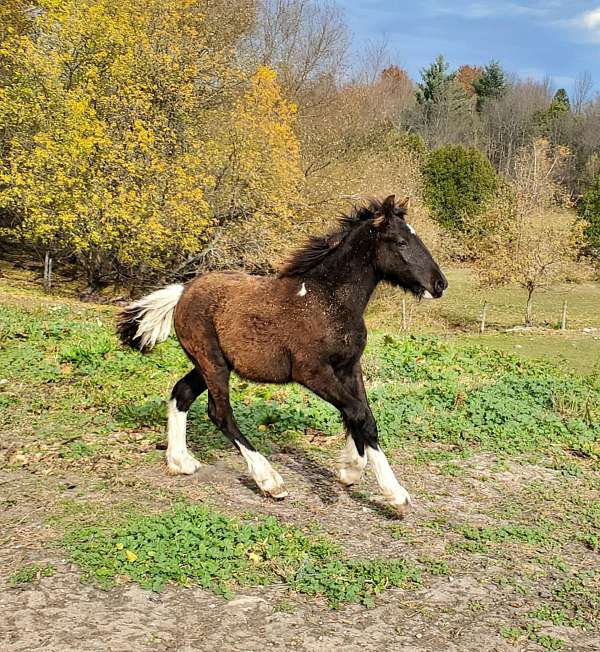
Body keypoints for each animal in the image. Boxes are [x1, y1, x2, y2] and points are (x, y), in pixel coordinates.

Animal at [118, 195, 446, 516]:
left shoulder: (349, 367)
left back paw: (181, 461)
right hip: (212, 363)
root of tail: (183, 291)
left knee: (181, 392)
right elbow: (358, 414)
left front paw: (352, 470)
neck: (328, 302)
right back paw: (269, 480)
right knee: (219, 412)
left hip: (207, 364)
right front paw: (383, 487)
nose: (439, 284)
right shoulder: (312, 372)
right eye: (401, 242)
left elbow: (362, 415)